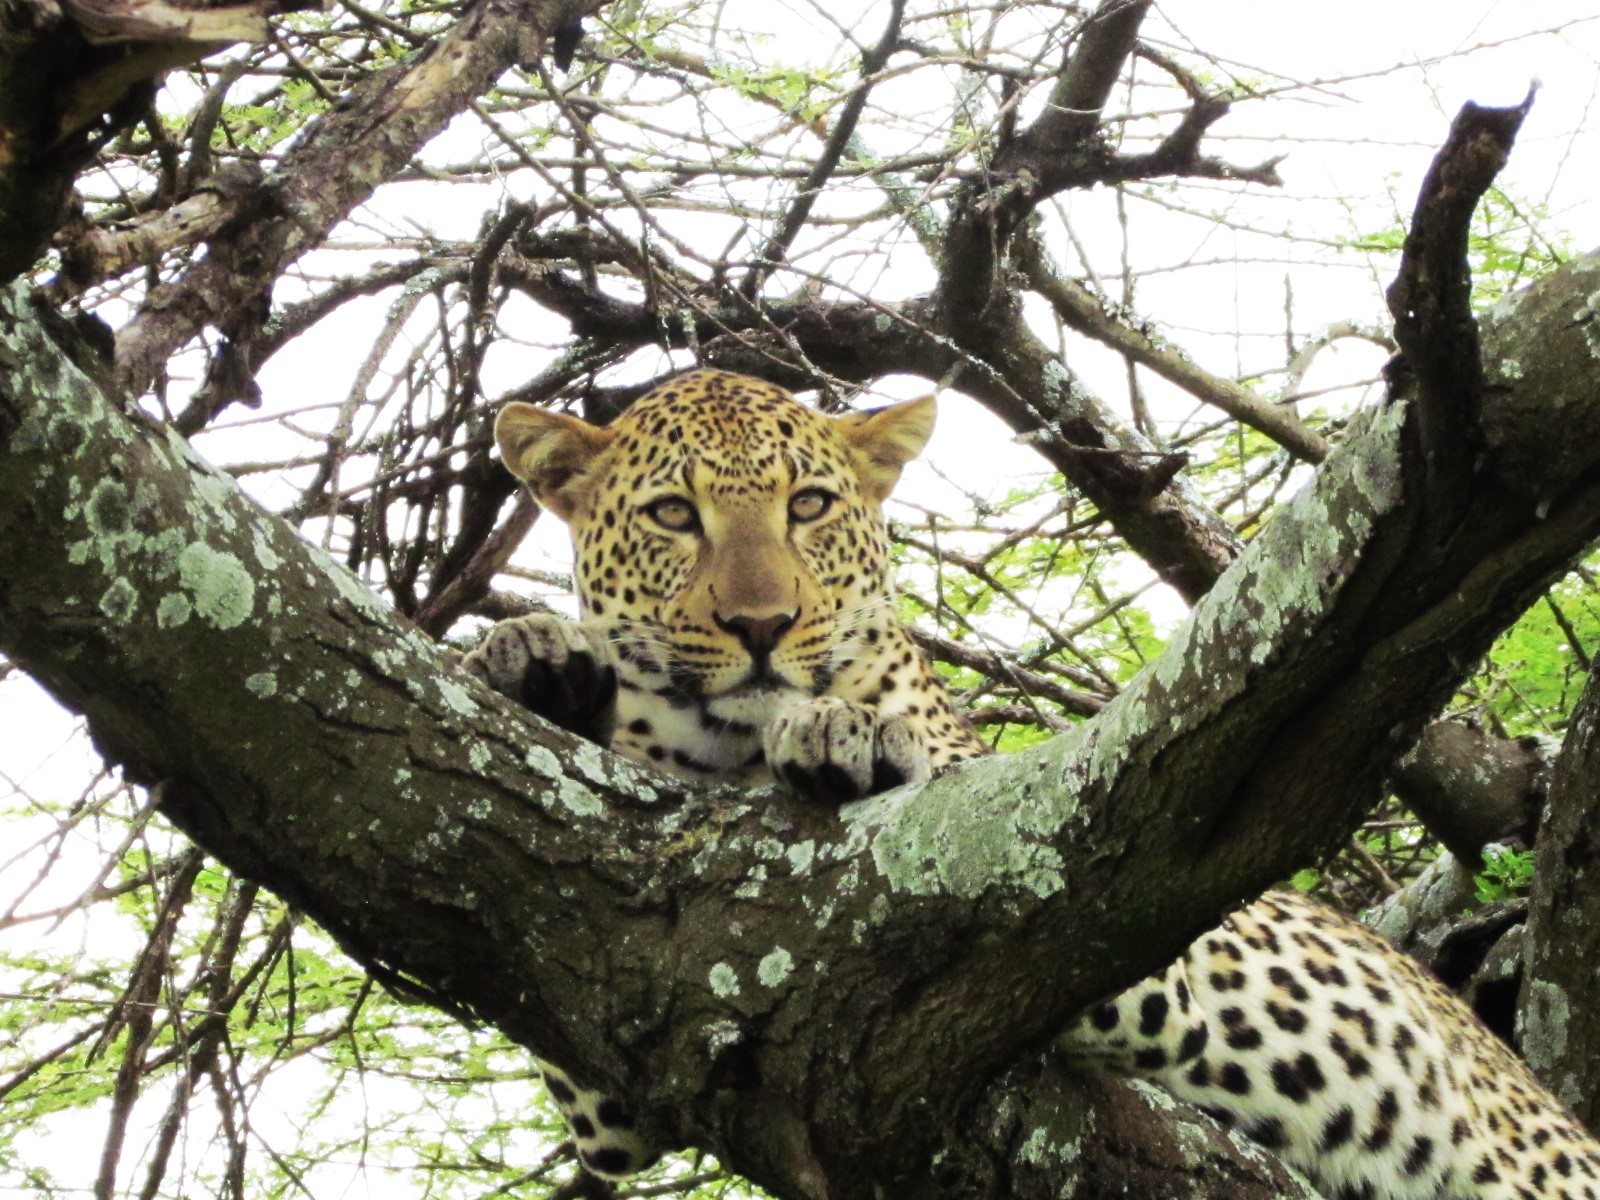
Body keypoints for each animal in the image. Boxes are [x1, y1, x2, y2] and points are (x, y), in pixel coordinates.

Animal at [463, 368, 1600, 1198]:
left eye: (810, 505)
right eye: (671, 516)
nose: (760, 626)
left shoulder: (1138, 958)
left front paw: (843, 731)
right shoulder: (613, 1076)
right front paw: (538, 659)